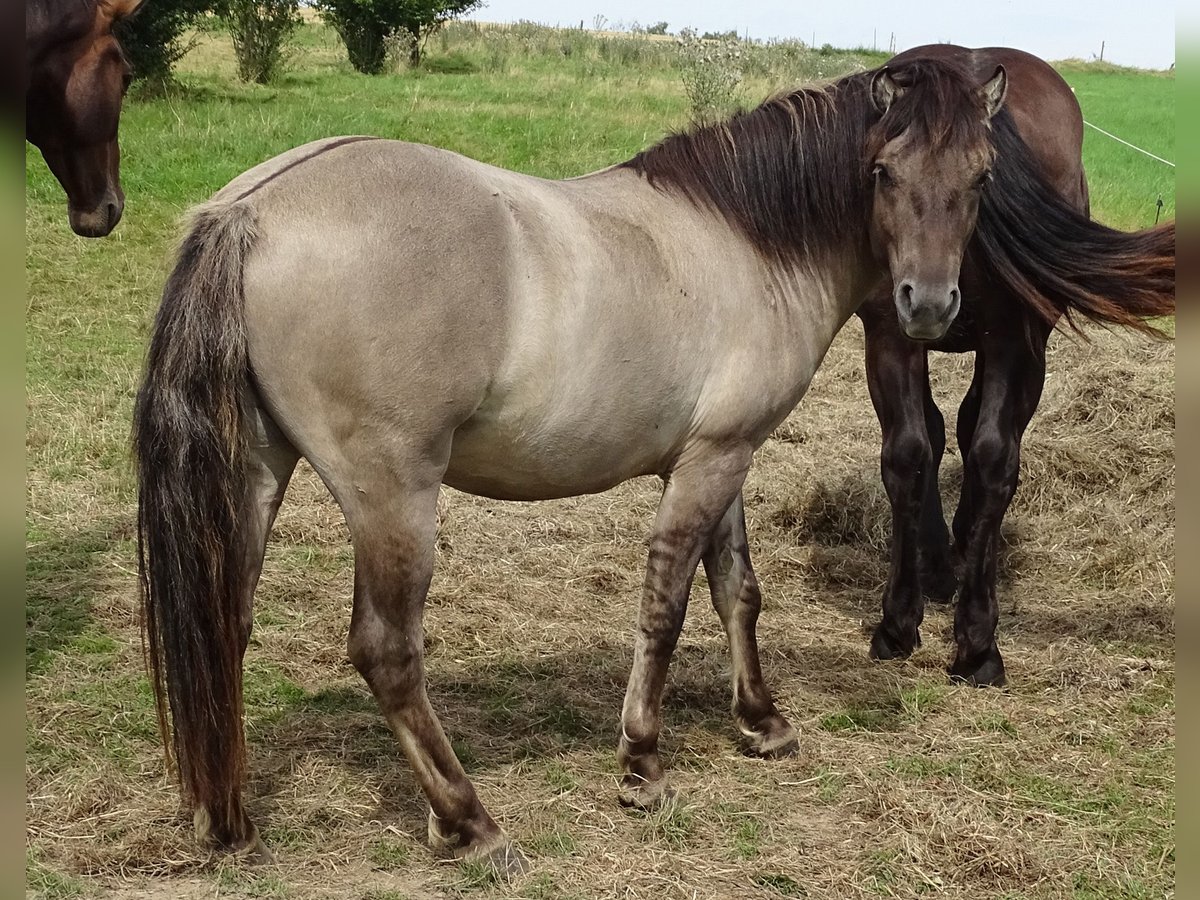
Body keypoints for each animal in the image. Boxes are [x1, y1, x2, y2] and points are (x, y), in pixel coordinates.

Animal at [859, 45, 1176, 686]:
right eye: (883, 171)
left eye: (983, 176)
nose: (929, 300)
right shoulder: (889, 335)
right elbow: (908, 453)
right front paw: (899, 620)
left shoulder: (1017, 345)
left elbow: (992, 458)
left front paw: (978, 640)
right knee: (937, 432)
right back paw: (939, 561)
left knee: (970, 430)